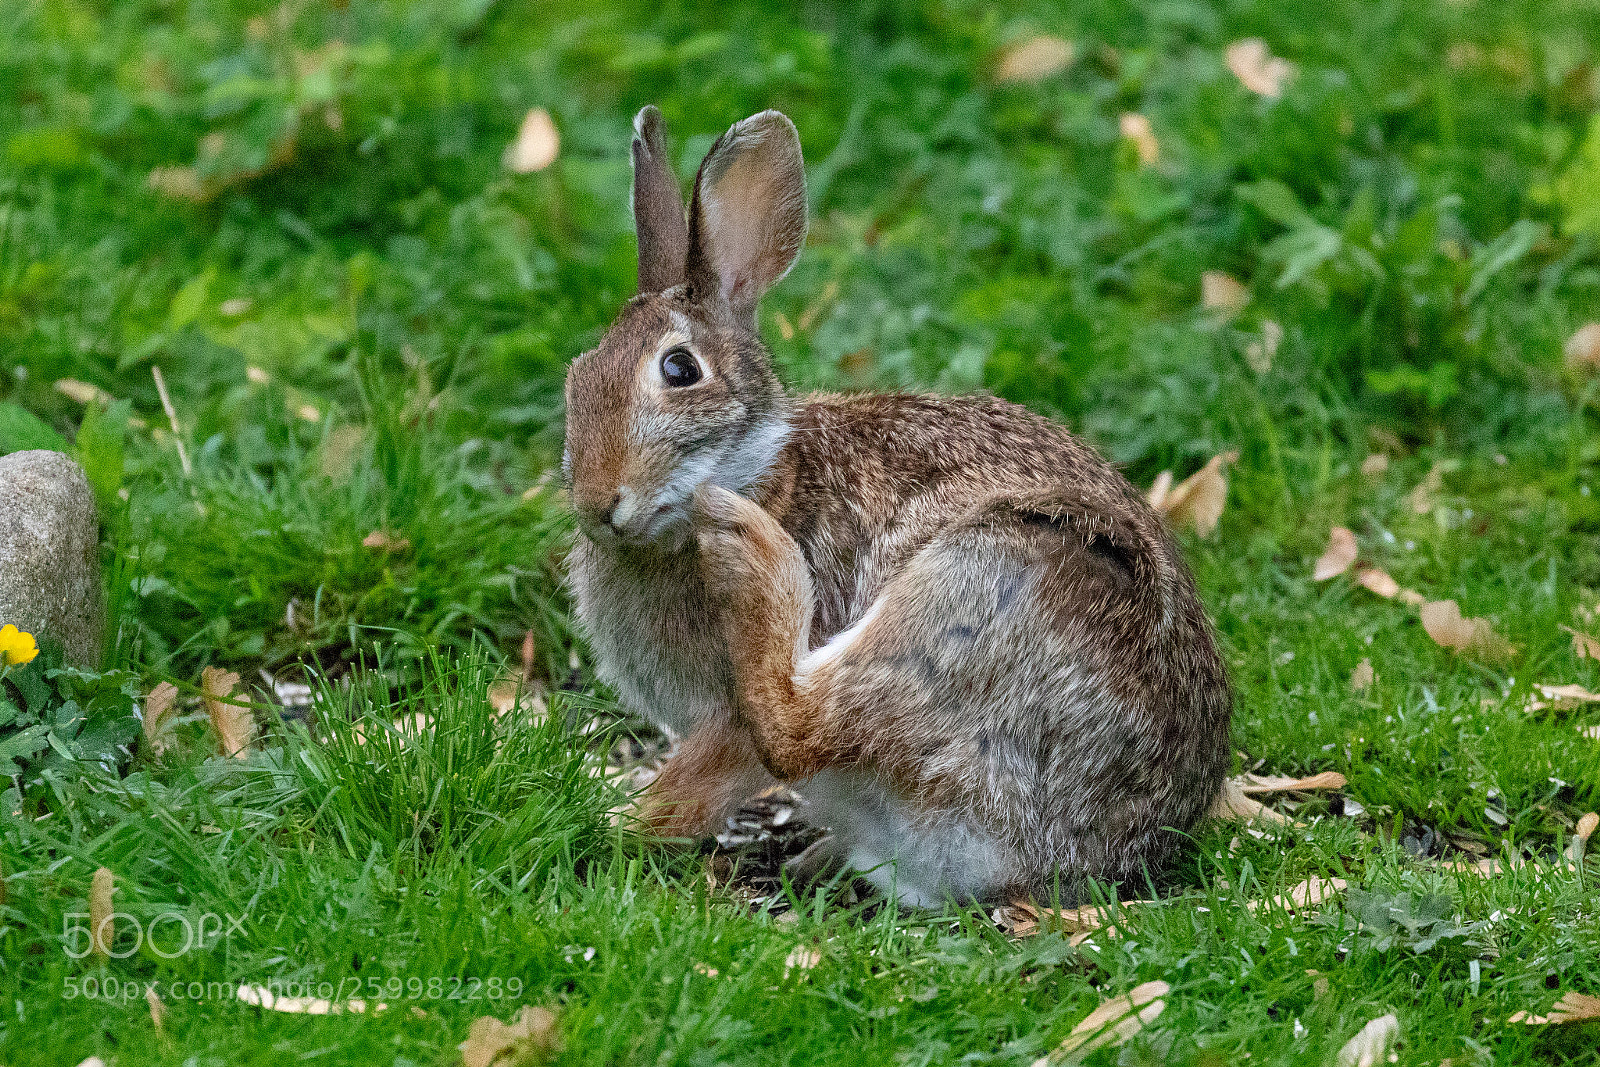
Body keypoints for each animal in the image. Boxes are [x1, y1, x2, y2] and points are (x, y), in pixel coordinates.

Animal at [563, 105, 1232, 906]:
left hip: (985, 584)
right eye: (577, 373)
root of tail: (1080, 856)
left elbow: (722, 767)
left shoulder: (728, 720)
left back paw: (749, 550)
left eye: (679, 369)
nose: (598, 500)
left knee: (802, 725)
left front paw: (628, 822)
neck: (759, 470)